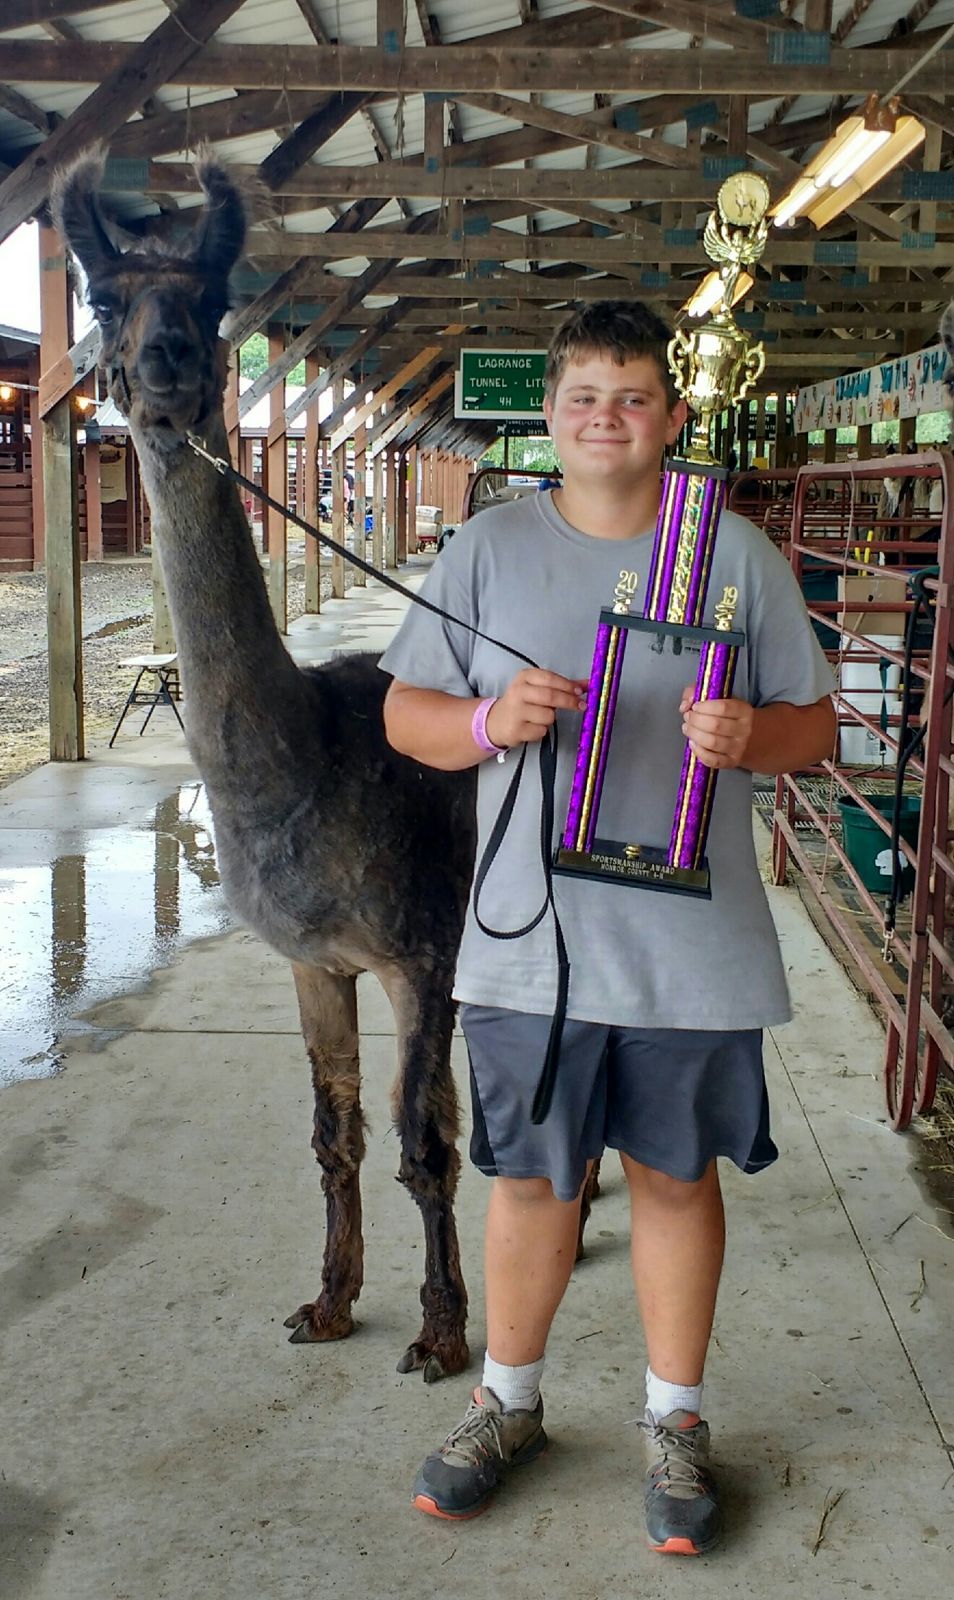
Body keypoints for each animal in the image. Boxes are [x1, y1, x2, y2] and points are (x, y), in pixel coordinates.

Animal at [52, 151, 477, 1382]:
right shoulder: (314, 959)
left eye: (210, 301)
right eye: (105, 297)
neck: (302, 769)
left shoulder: (417, 946)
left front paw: (441, 1332)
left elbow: (422, 1140)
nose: (162, 360)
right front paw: (331, 1301)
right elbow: (337, 1130)